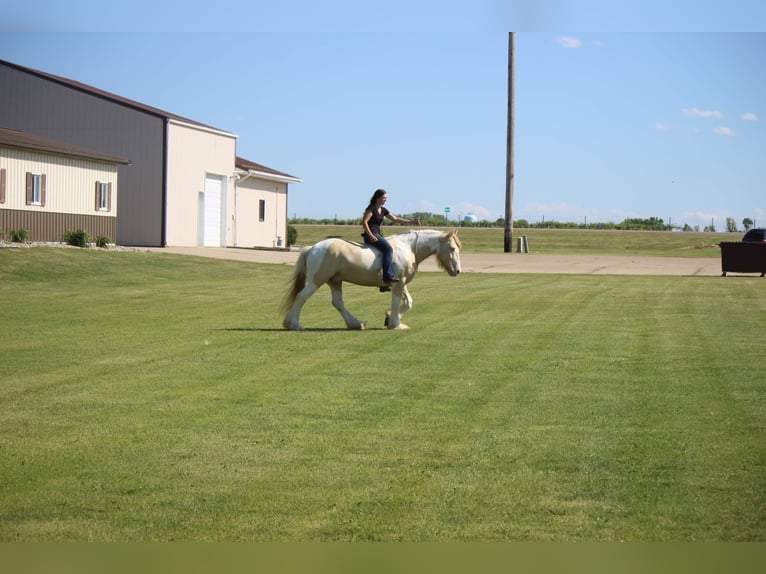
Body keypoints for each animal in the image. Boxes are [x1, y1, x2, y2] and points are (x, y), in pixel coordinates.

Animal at [282, 228, 462, 330]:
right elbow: (396, 303)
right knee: (301, 297)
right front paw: (395, 323)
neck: (408, 247)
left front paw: (390, 318)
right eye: (452, 248)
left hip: (335, 281)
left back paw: (356, 324)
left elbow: (408, 302)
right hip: (316, 281)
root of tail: (313, 247)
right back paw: (293, 324)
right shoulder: (399, 284)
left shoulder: (400, 283)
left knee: (338, 303)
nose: (458, 271)